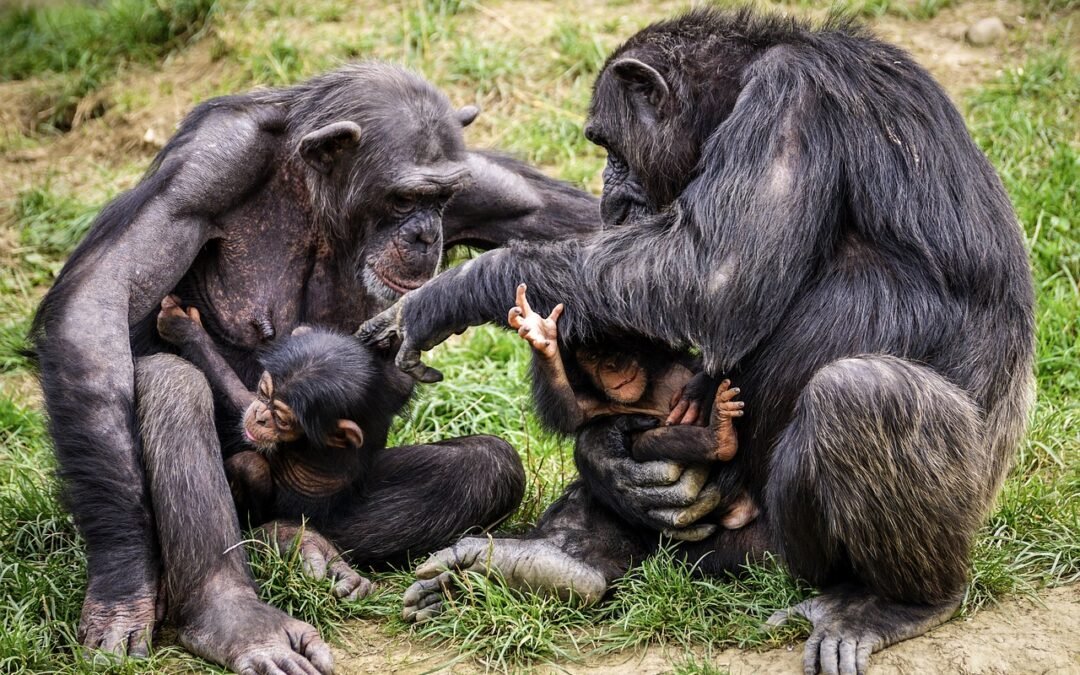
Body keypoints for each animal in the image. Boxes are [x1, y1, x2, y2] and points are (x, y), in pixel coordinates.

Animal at [29, 60, 600, 669]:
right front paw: (122, 580)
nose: (426, 234)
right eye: (404, 199)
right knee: (172, 382)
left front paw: (463, 292)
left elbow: (594, 230)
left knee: (487, 465)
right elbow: (99, 302)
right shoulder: (206, 167)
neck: (316, 197)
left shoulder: (484, 184)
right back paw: (234, 617)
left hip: (324, 505)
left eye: (443, 199)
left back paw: (301, 545)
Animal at [507, 280, 756, 529]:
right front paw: (542, 337)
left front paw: (702, 387)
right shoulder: (596, 403)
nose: (612, 365)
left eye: (619, 346)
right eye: (594, 356)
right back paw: (719, 437)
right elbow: (570, 412)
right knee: (646, 442)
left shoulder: (682, 364)